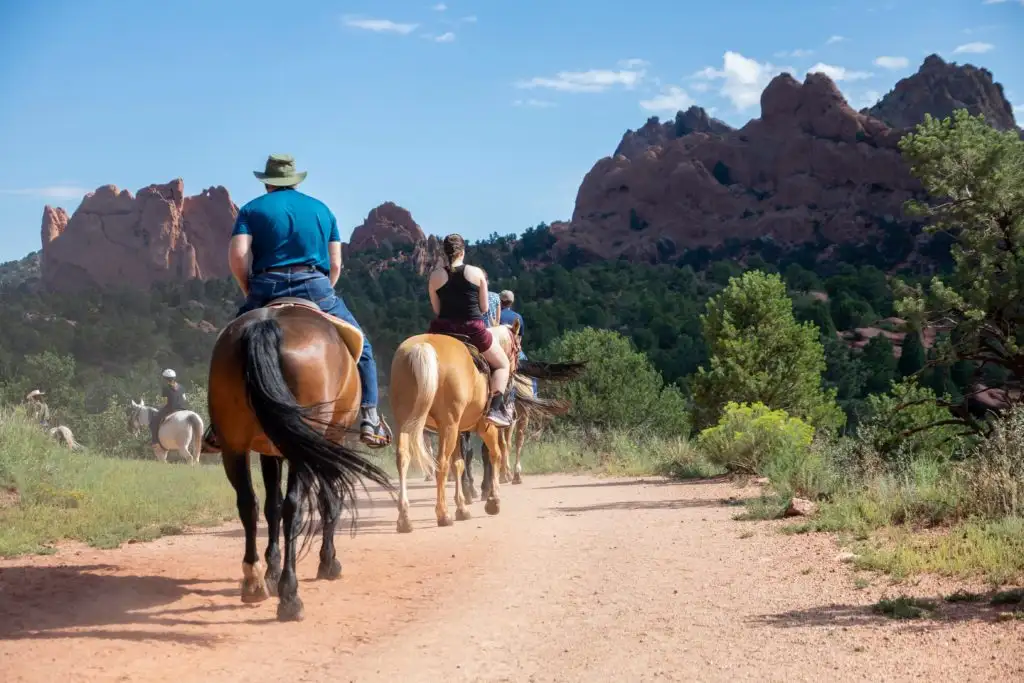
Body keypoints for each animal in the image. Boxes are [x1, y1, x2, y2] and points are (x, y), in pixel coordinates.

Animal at [204, 296, 391, 618]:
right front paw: (328, 562)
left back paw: (254, 581)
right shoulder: (327, 442)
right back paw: (290, 595)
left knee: (249, 504)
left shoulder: (271, 451)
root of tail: (267, 324)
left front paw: (271, 570)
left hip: (235, 445)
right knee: (295, 508)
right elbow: (327, 501)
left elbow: (272, 507)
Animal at [389, 317, 585, 532]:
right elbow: (494, 454)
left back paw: (404, 518)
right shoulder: (485, 427)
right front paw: (493, 500)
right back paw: (443, 514)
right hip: (449, 425)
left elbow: (459, 464)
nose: (515, 371)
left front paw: (463, 507)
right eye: (517, 348)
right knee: (442, 462)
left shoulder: (459, 429)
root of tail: (423, 348)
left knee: (404, 458)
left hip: (407, 422)